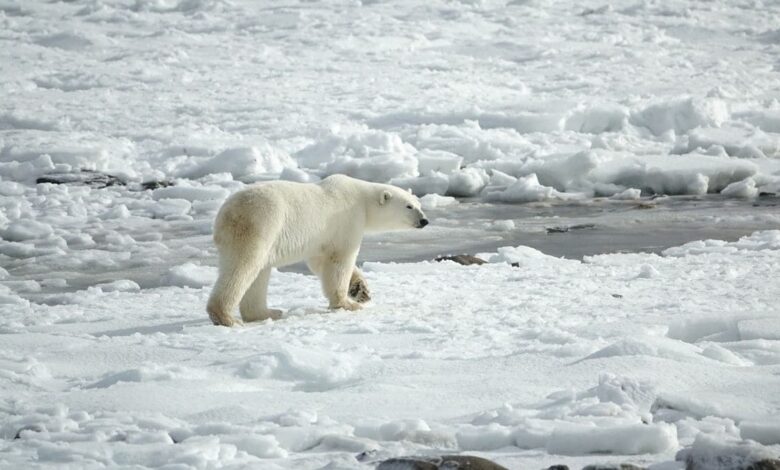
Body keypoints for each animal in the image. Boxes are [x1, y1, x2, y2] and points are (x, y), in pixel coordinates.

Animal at [206, 173, 426, 326]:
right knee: (243, 267)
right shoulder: (347, 221)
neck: (362, 200)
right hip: (260, 224)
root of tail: (225, 213)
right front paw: (347, 303)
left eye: (419, 204)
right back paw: (226, 317)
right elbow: (340, 260)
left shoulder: (321, 238)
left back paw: (269, 312)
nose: (424, 220)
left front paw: (360, 290)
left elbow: (320, 261)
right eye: (408, 206)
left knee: (258, 273)